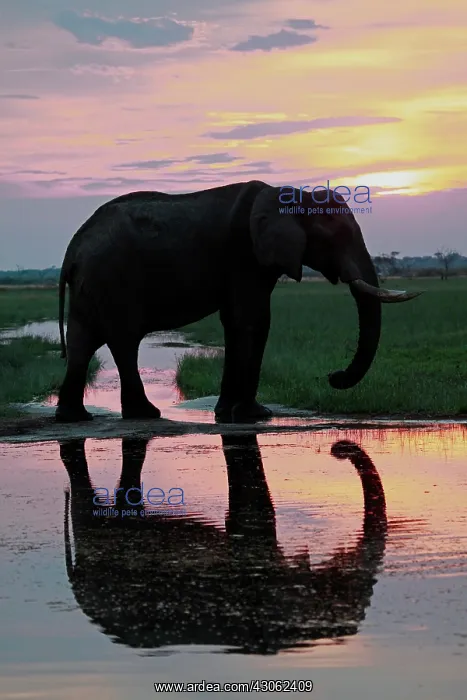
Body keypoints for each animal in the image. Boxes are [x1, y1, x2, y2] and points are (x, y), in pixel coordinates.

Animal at [55, 181, 422, 423]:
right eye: (338, 236)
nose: (333, 376)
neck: (289, 197)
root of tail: (72, 248)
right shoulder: (245, 255)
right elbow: (254, 320)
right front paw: (256, 415)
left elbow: (235, 321)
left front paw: (225, 413)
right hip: (113, 278)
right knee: (124, 341)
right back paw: (145, 414)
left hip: (92, 283)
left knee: (82, 341)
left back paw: (76, 418)